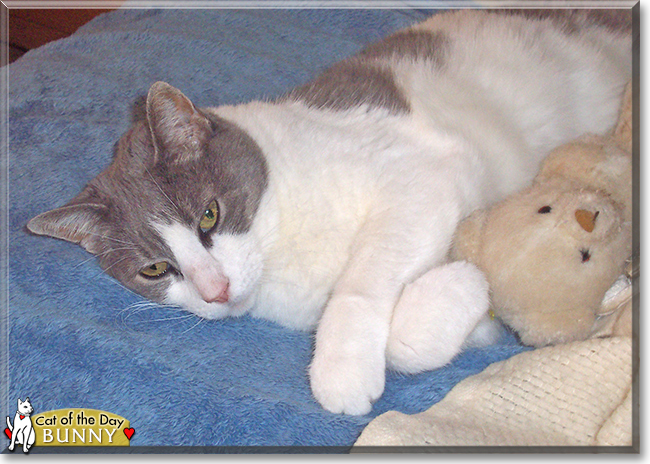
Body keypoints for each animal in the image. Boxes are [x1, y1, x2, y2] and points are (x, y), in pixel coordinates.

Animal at [25, 9, 628, 414]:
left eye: (208, 216)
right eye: (154, 269)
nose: (215, 291)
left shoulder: (423, 175)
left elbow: (362, 286)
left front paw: (341, 370)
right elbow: (424, 339)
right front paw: (463, 288)